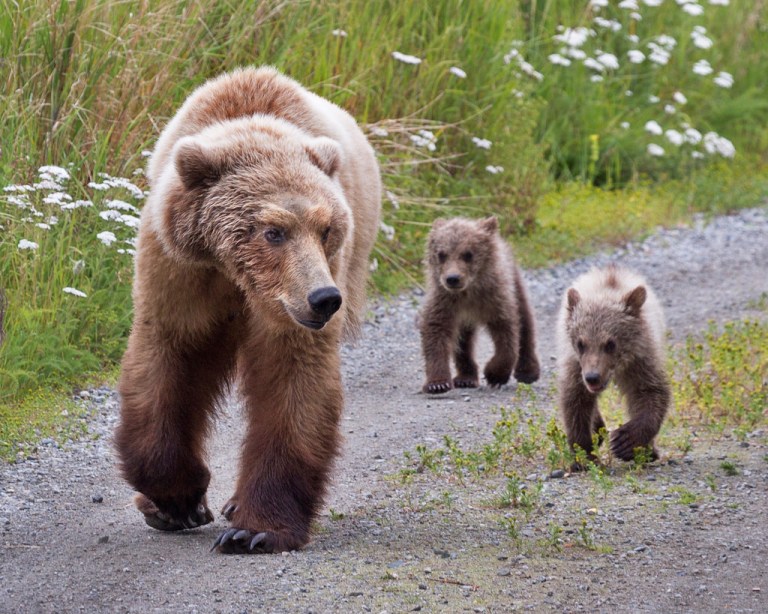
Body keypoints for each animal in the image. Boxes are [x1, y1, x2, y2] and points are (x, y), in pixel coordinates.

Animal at [114, 66, 381, 554]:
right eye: (273, 231)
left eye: (325, 228)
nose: (324, 298)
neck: (236, 274)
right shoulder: (180, 270)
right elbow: (166, 364)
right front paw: (178, 500)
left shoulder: (290, 308)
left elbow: (293, 385)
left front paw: (253, 530)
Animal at [419, 216, 541, 394]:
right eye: (441, 254)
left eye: (468, 254)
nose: (452, 278)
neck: (469, 292)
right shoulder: (444, 302)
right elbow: (435, 333)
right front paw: (437, 384)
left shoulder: (496, 300)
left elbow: (507, 335)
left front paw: (494, 375)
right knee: (463, 342)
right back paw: (466, 378)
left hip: (514, 281)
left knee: (525, 321)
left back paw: (528, 372)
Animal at [556, 265, 670, 468]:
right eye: (581, 343)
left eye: (610, 343)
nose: (592, 377)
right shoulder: (575, 364)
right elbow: (575, 400)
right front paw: (584, 456)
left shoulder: (641, 358)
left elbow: (651, 392)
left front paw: (625, 442)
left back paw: (649, 451)